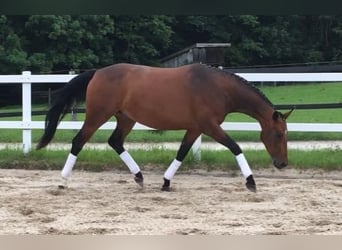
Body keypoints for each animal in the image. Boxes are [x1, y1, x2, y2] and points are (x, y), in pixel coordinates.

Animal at [37, 62, 294, 191]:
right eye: (279, 134)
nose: (282, 164)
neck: (217, 87)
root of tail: (97, 73)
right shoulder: (210, 126)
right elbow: (235, 147)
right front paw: (251, 182)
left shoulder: (196, 128)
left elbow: (182, 152)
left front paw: (166, 182)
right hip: (97, 115)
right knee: (78, 141)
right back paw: (62, 182)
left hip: (126, 118)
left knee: (115, 141)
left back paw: (139, 177)